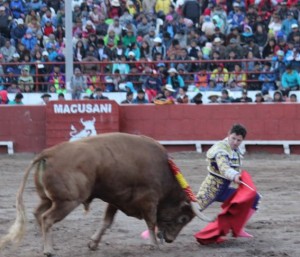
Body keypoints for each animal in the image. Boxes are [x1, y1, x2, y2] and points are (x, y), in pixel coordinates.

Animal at [0, 133, 209, 255]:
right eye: (183, 219)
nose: (170, 239)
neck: (165, 171)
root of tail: (48, 153)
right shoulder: (149, 199)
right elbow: (150, 222)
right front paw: (154, 245)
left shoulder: (116, 199)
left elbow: (106, 222)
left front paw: (93, 244)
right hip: (67, 201)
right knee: (47, 218)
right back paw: (49, 250)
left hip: (48, 199)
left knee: (37, 214)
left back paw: (45, 245)